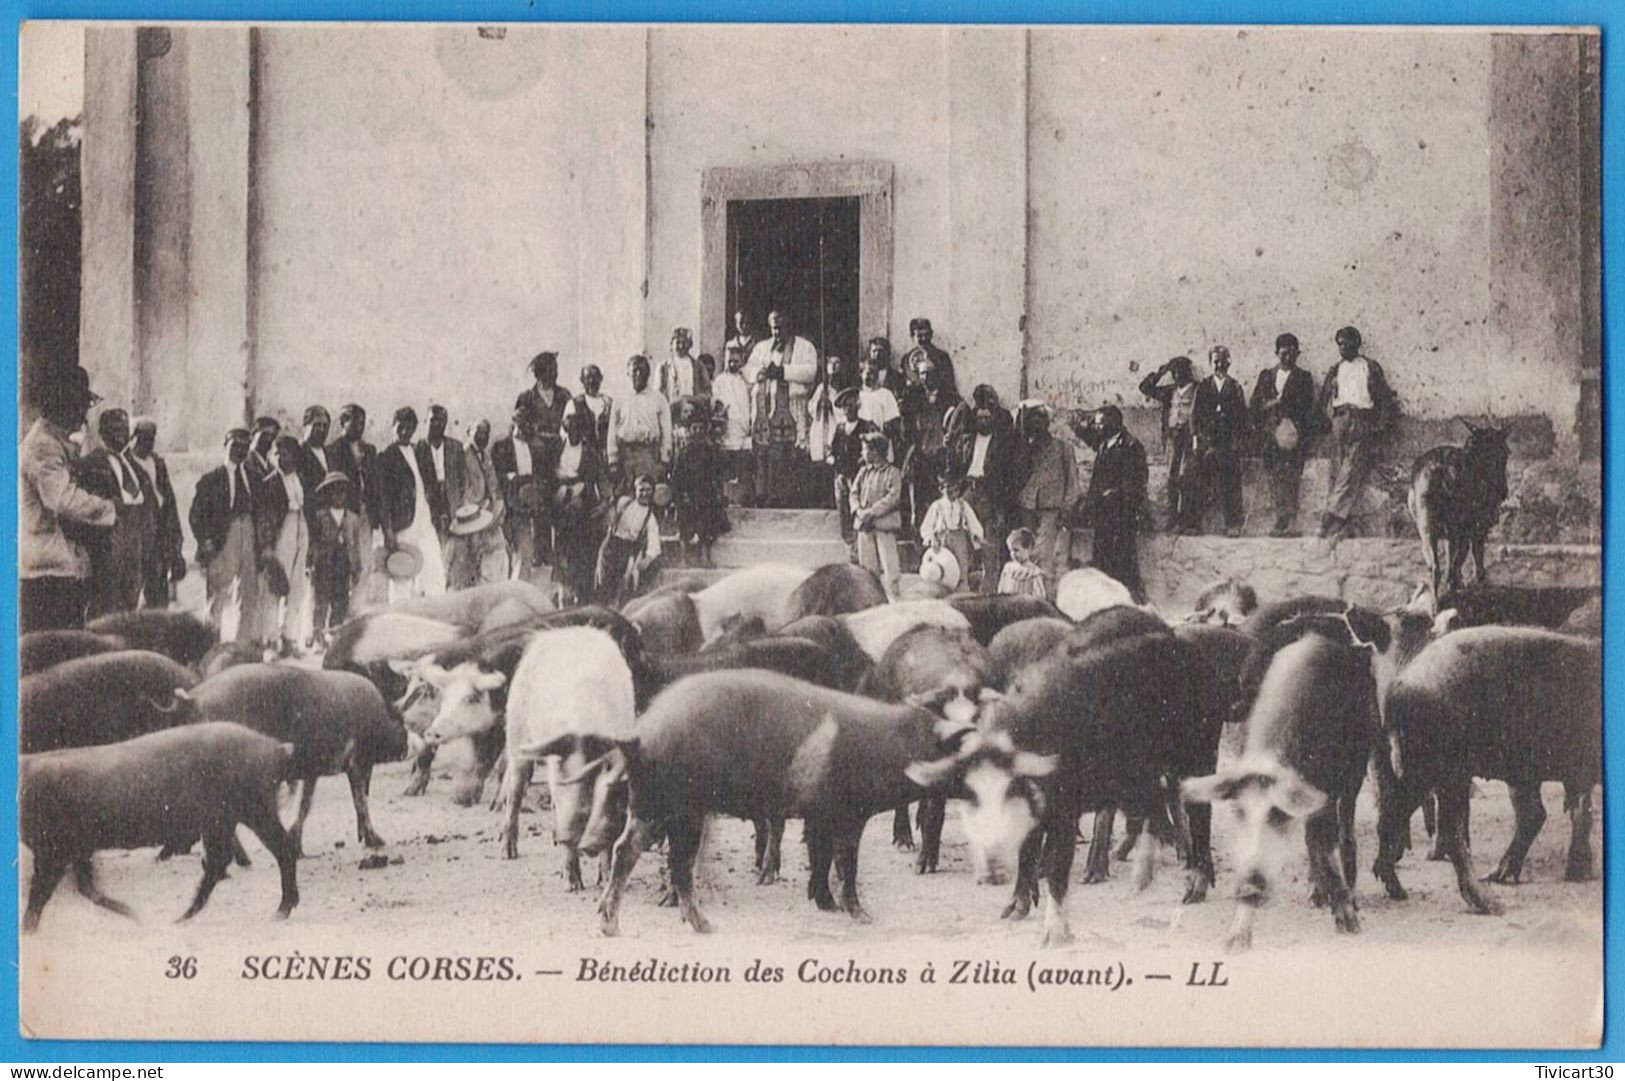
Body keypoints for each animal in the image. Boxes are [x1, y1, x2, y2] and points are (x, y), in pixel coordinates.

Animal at [19, 721, 299, 929]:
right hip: (222, 819)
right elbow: (87, 889)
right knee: (219, 862)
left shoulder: (53, 846)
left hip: (254, 806)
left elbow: (40, 892)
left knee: (282, 847)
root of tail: (275, 747)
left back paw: (279, 912)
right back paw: (181, 918)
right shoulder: (77, 848)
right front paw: (133, 914)